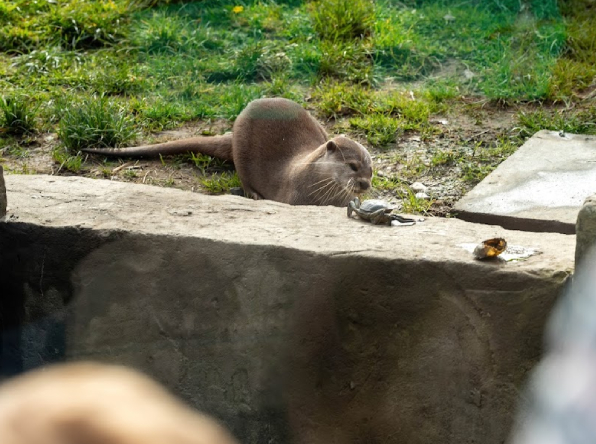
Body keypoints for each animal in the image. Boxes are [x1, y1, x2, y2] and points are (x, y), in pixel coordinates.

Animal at [84, 98, 372, 207]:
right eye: (353, 166)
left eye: (371, 170)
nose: (365, 184)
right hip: (242, 145)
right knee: (243, 176)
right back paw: (254, 195)